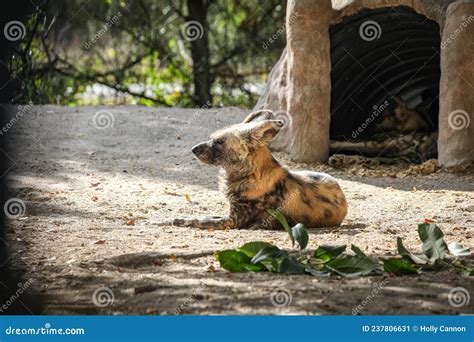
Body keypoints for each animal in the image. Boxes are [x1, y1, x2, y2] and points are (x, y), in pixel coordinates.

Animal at [167, 109, 348, 231]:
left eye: (219, 142)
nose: (193, 149)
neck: (248, 175)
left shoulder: (233, 221)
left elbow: (201, 220)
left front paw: (177, 220)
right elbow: (207, 216)